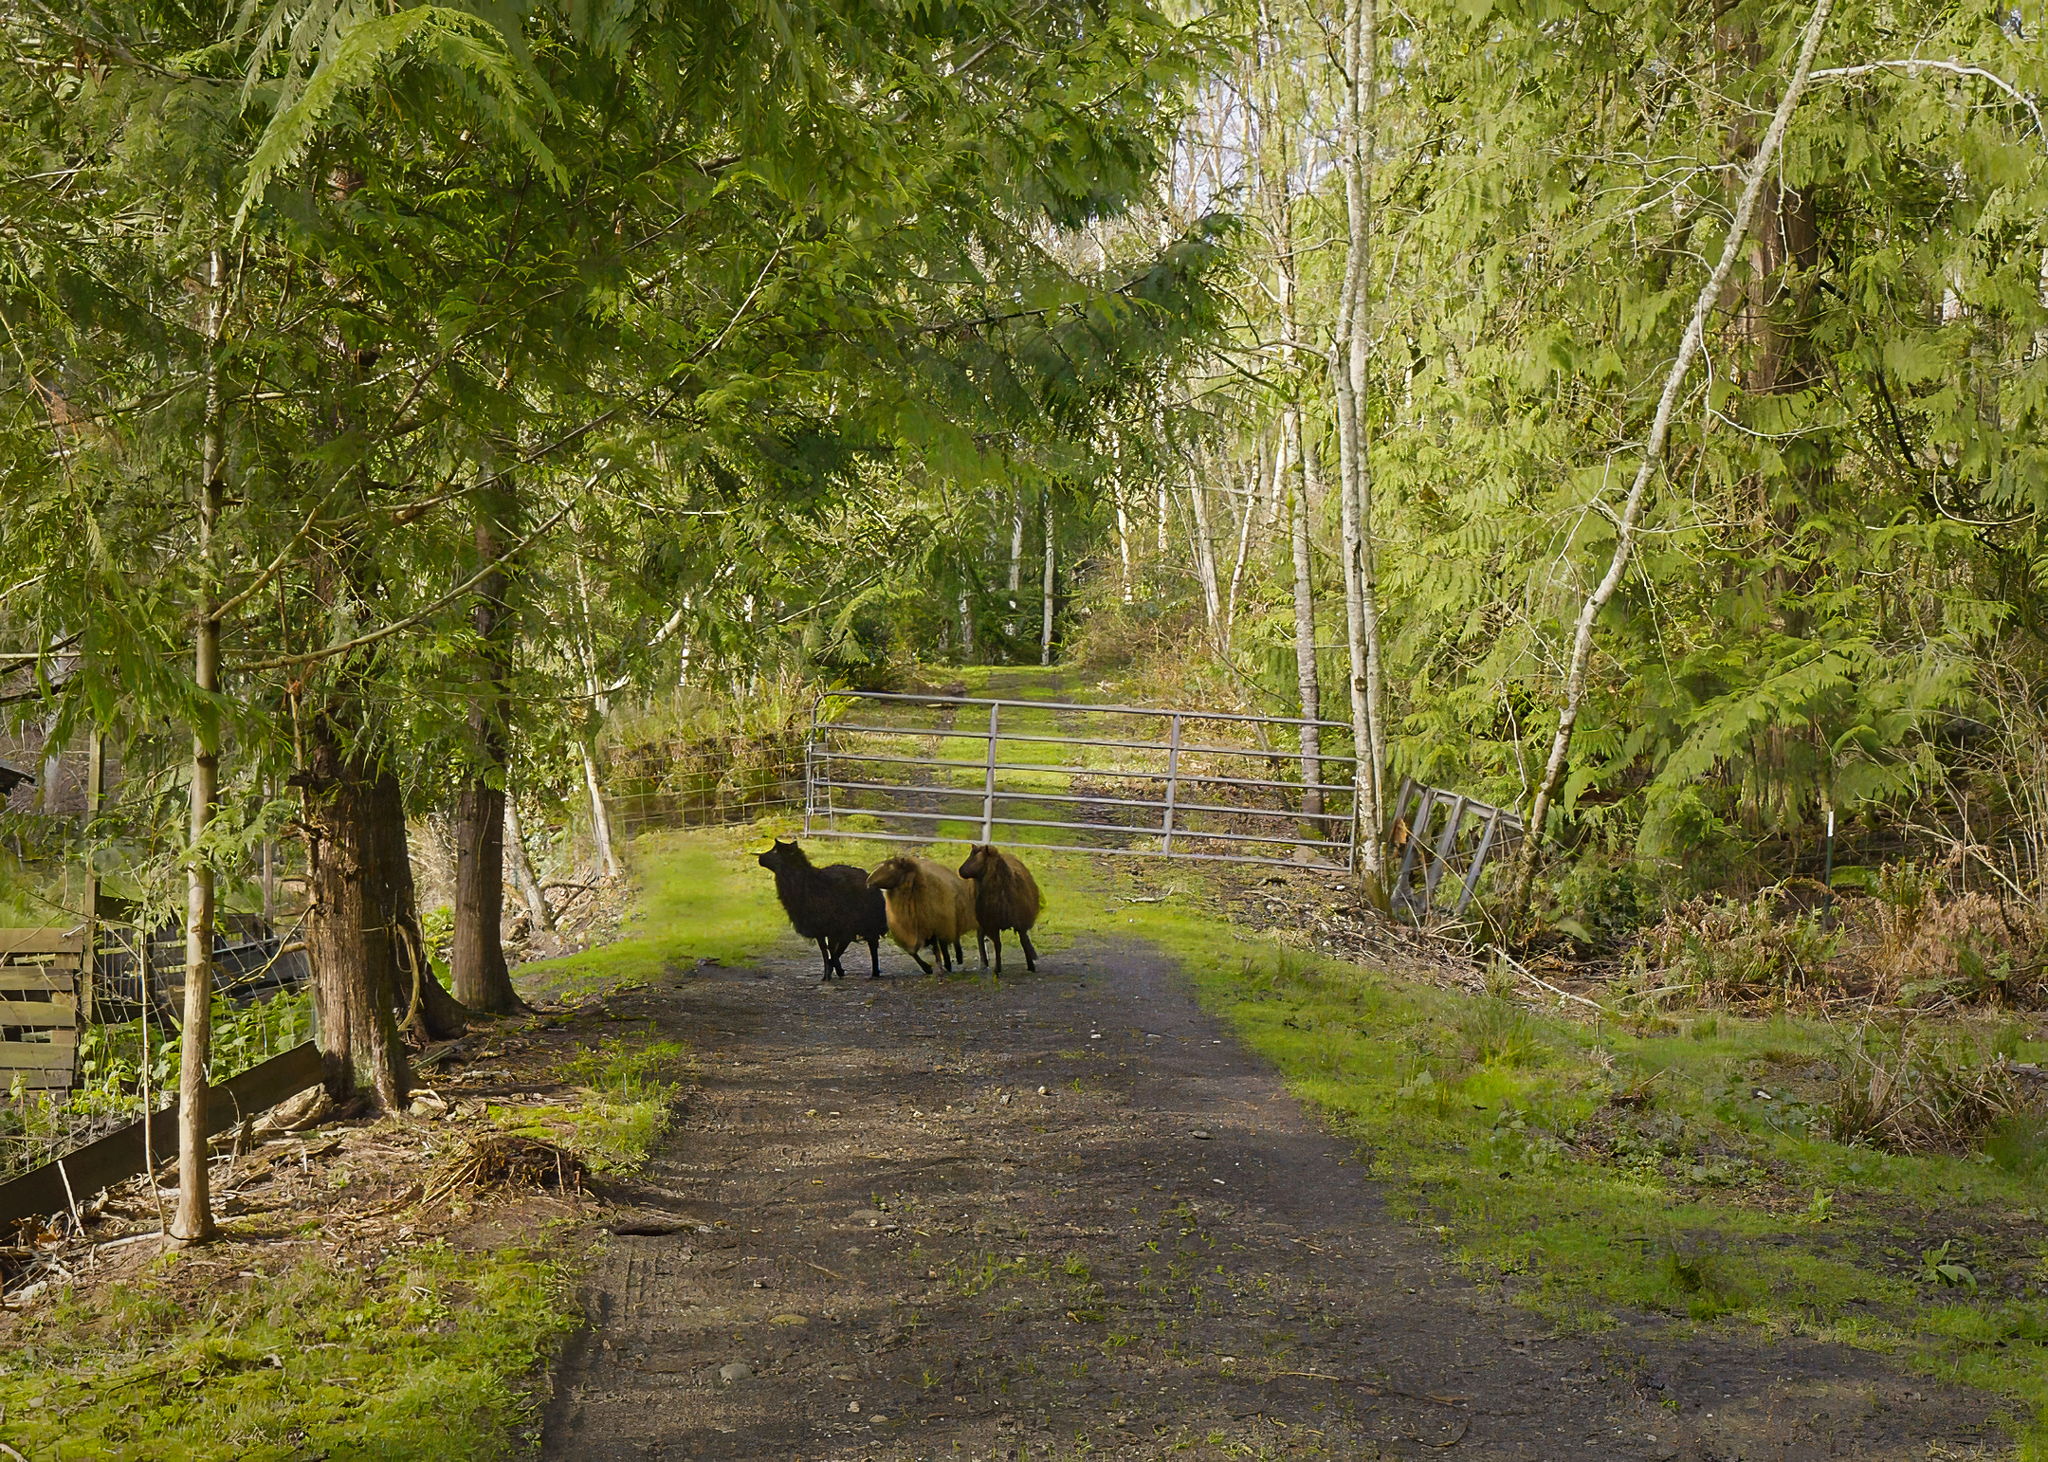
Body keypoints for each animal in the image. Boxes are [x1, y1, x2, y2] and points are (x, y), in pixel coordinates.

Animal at [757, 839, 888, 981]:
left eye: (776, 851)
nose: (759, 857)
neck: (808, 883)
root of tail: (865, 873)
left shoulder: (833, 926)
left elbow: (830, 950)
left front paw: (834, 971)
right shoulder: (819, 928)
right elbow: (825, 951)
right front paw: (827, 975)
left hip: (867, 920)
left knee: (871, 945)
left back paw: (874, 972)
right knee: (844, 944)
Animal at [957, 844, 1041, 974]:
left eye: (976, 857)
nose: (960, 871)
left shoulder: (1020, 922)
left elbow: (1023, 942)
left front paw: (1031, 965)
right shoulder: (992, 924)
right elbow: (998, 945)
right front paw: (997, 968)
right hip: (981, 918)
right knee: (980, 936)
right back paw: (984, 963)